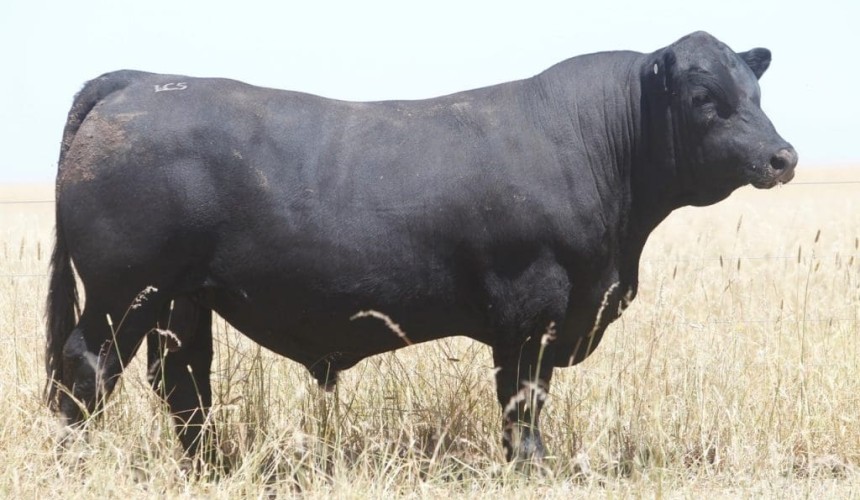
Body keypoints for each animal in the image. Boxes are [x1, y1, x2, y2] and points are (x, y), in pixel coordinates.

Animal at [46, 31, 797, 462]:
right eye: (703, 97)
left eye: (755, 92)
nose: (782, 156)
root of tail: (138, 80)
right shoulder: (533, 311)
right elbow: (523, 400)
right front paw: (532, 466)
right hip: (122, 291)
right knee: (86, 369)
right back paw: (79, 462)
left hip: (180, 296)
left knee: (182, 382)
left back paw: (209, 467)